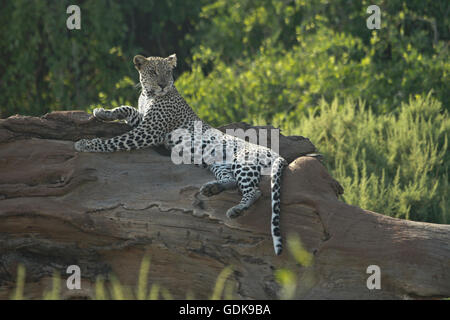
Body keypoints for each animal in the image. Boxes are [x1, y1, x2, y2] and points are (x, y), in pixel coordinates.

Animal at [75, 54, 286, 255]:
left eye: (167, 72)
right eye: (153, 72)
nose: (162, 84)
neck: (147, 95)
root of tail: (275, 153)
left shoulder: (148, 132)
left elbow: (114, 141)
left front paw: (86, 143)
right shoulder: (144, 124)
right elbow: (127, 108)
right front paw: (102, 111)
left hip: (243, 163)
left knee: (254, 191)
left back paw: (236, 210)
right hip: (219, 163)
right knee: (232, 180)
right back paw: (211, 189)